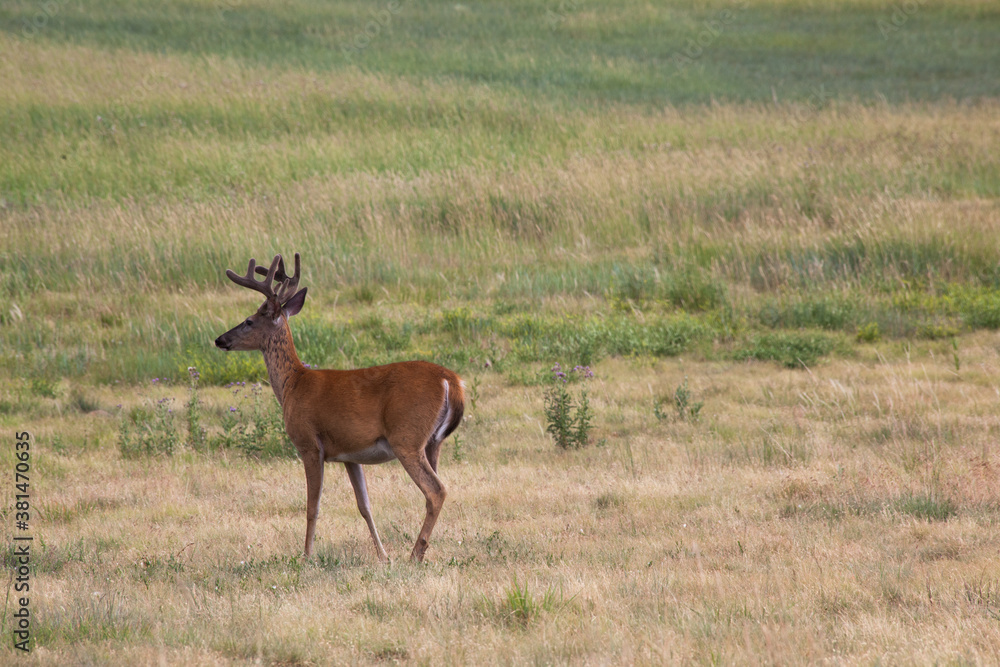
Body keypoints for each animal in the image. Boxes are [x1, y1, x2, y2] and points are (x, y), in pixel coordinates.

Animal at [214, 253, 464, 563]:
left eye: (248, 321)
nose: (220, 339)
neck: (293, 384)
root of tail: (451, 380)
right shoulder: (350, 454)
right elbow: (364, 506)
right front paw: (382, 556)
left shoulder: (309, 444)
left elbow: (313, 506)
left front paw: (307, 555)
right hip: (433, 442)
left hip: (406, 437)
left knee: (436, 490)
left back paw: (415, 554)